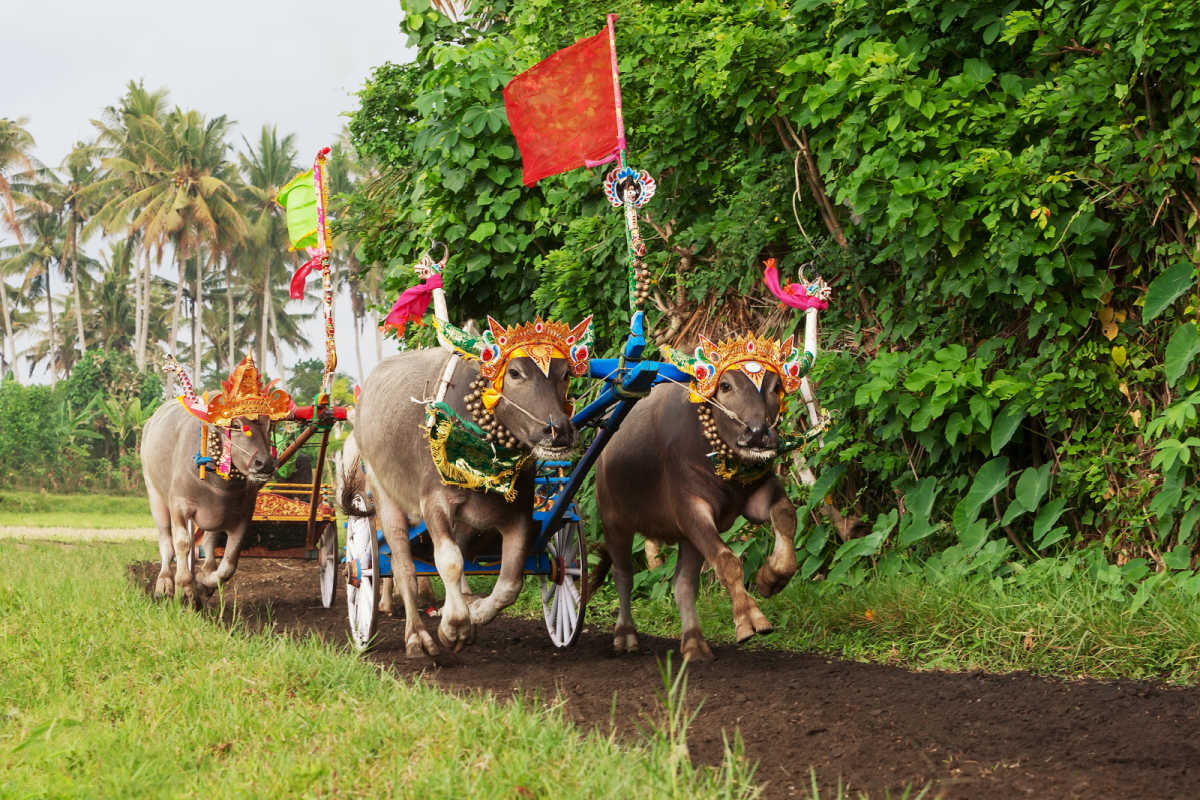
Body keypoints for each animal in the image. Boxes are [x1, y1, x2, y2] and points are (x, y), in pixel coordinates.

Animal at [352, 316, 592, 662]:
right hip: (383, 495)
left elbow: (509, 583)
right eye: (515, 373)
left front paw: (474, 613)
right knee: (402, 567)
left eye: (565, 375)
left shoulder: (519, 514)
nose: (558, 431)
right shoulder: (434, 502)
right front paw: (454, 627)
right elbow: (448, 562)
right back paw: (416, 637)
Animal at [592, 331, 816, 662]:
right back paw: (626, 635)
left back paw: (694, 642)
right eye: (726, 386)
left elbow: (786, 517)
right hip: (614, 521)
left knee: (683, 583)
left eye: (776, 387)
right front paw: (750, 619)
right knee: (624, 574)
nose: (757, 433)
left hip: (686, 538)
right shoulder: (690, 508)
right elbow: (727, 560)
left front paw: (771, 578)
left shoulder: (757, 493)